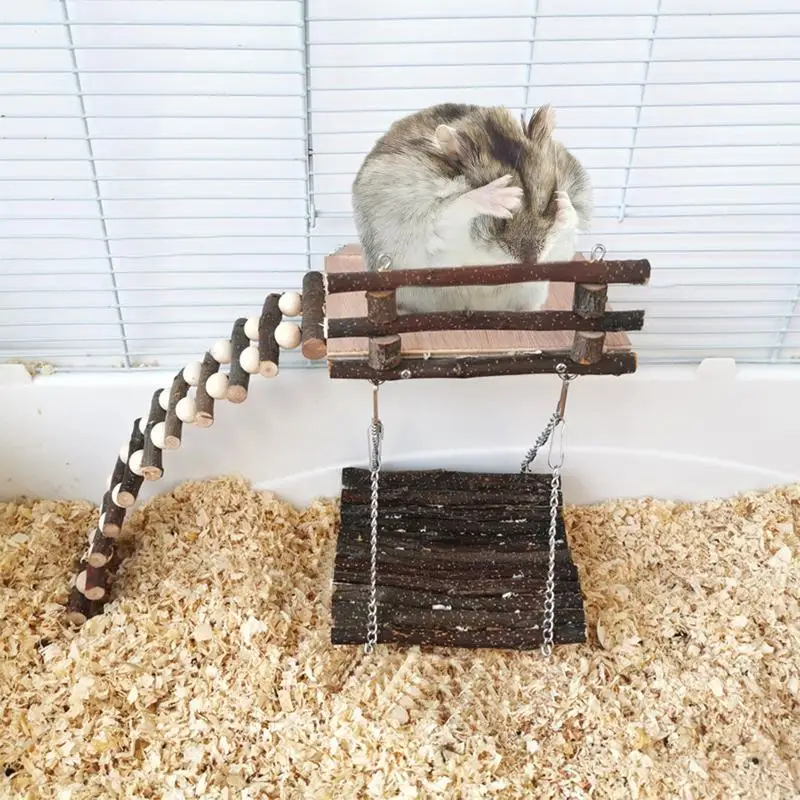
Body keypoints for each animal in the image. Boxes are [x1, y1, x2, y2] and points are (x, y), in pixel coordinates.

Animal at [351, 103, 592, 314]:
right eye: (501, 220)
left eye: (546, 204)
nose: (531, 262)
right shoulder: (429, 226)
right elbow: (456, 207)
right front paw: (502, 195)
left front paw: (564, 204)